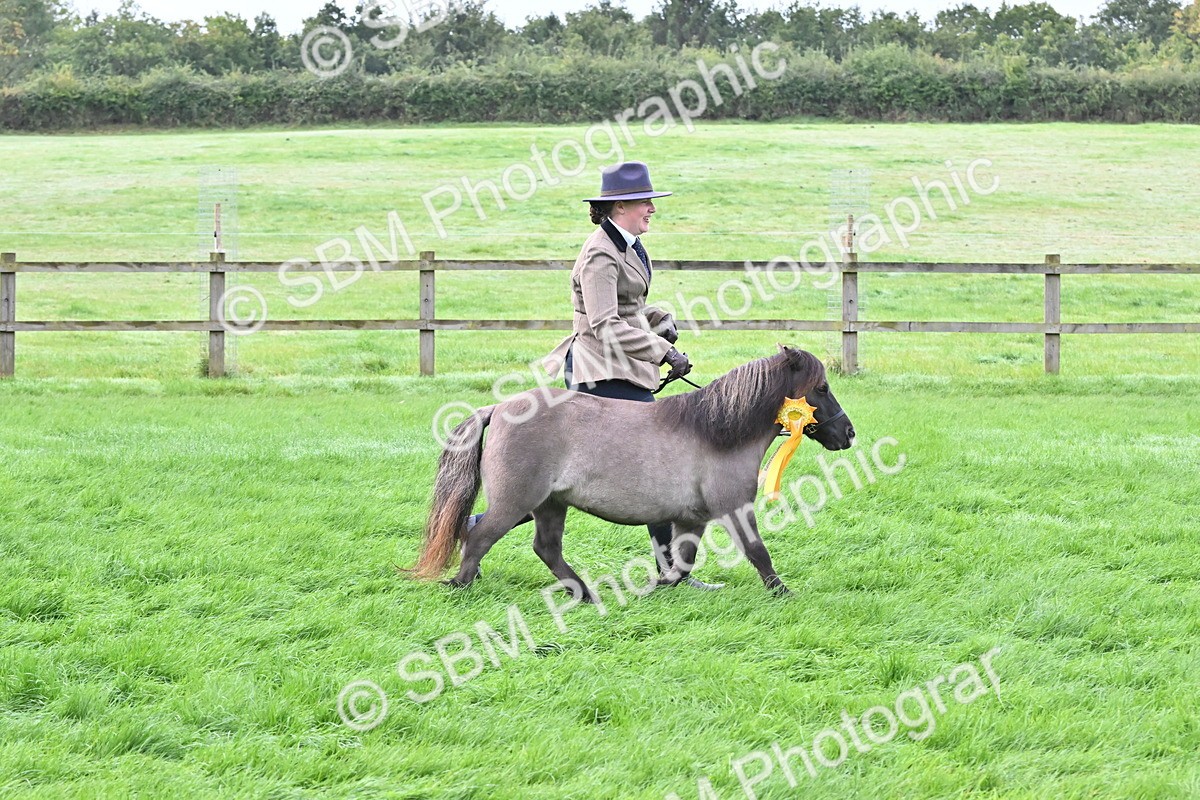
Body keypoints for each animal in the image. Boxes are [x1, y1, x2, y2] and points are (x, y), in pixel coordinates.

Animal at [411, 346, 855, 601]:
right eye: (821, 388)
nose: (848, 434)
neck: (718, 430)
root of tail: (498, 409)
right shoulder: (734, 508)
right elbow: (756, 551)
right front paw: (783, 592)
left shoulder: (692, 518)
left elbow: (681, 562)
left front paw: (660, 586)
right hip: (518, 501)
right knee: (480, 536)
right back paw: (461, 584)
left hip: (549, 505)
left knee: (543, 547)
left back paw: (584, 593)